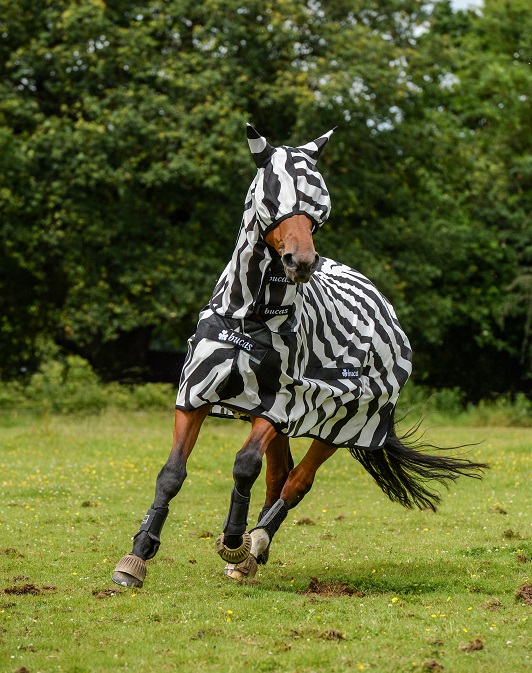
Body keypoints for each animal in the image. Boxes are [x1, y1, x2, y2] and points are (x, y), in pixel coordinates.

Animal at [111, 123, 486, 584]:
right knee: (278, 474)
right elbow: (172, 474)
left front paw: (233, 540)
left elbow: (244, 466)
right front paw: (136, 557)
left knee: (296, 482)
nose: (301, 261)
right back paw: (251, 553)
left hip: (340, 420)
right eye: (271, 198)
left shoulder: (279, 403)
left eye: (319, 203)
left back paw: (255, 542)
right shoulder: (197, 394)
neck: (250, 317)